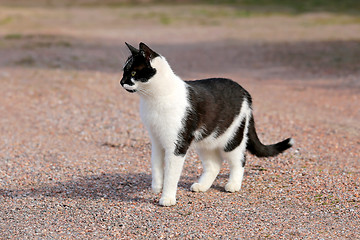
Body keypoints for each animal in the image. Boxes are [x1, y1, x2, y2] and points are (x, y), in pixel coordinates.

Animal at [119, 41, 294, 206]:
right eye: (123, 72)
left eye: (133, 72)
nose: (121, 82)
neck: (154, 98)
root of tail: (245, 91)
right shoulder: (156, 140)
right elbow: (155, 165)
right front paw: (156, 187)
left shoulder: (178, 144)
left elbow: (171, 174)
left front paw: (167, 197)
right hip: (206, 140)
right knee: (214, 164)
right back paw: (201, 186)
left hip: (232, 138)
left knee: (240, 160)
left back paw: (233, 185)